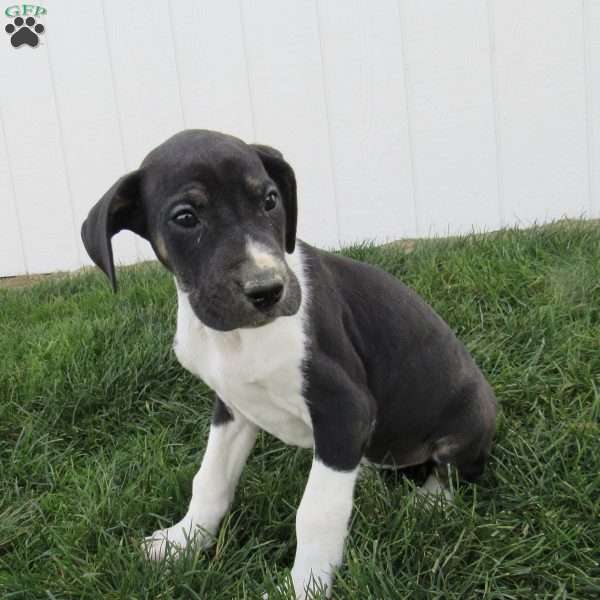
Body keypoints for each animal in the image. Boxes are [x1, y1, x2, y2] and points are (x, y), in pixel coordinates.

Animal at [83, 129, 496, 596]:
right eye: (185, 217)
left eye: (270, 200)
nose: (267, 289)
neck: (238, 337)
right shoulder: (233, 407)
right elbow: (210, 479)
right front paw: (183, 541)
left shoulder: (344, 407)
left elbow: (316, 512)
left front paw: (303, 588)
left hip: (467, 418)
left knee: (457, 471)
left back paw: (430, 502)